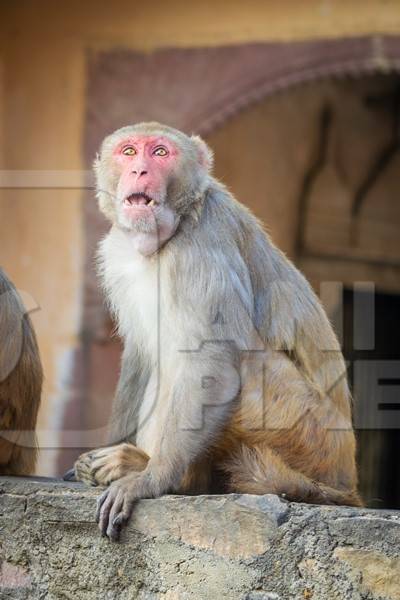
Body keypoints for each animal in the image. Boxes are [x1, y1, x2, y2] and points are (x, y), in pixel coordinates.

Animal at [72, 120, 362, 540]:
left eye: (160, 153)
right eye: (128, 152)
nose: (139, 170)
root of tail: (344, 483)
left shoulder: (200, 248)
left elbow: (213, 360)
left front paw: (152, 480)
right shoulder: (115, 254)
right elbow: (140, 354)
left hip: (298, 428)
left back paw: (174, 477)